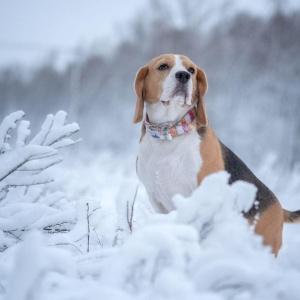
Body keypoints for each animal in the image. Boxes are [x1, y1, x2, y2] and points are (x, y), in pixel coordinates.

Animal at [134, 53, 300, 255]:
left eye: (191, 70)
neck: (169, 133)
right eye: (163, 66)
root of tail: (280, 208)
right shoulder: (155, 197)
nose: (184, 76)